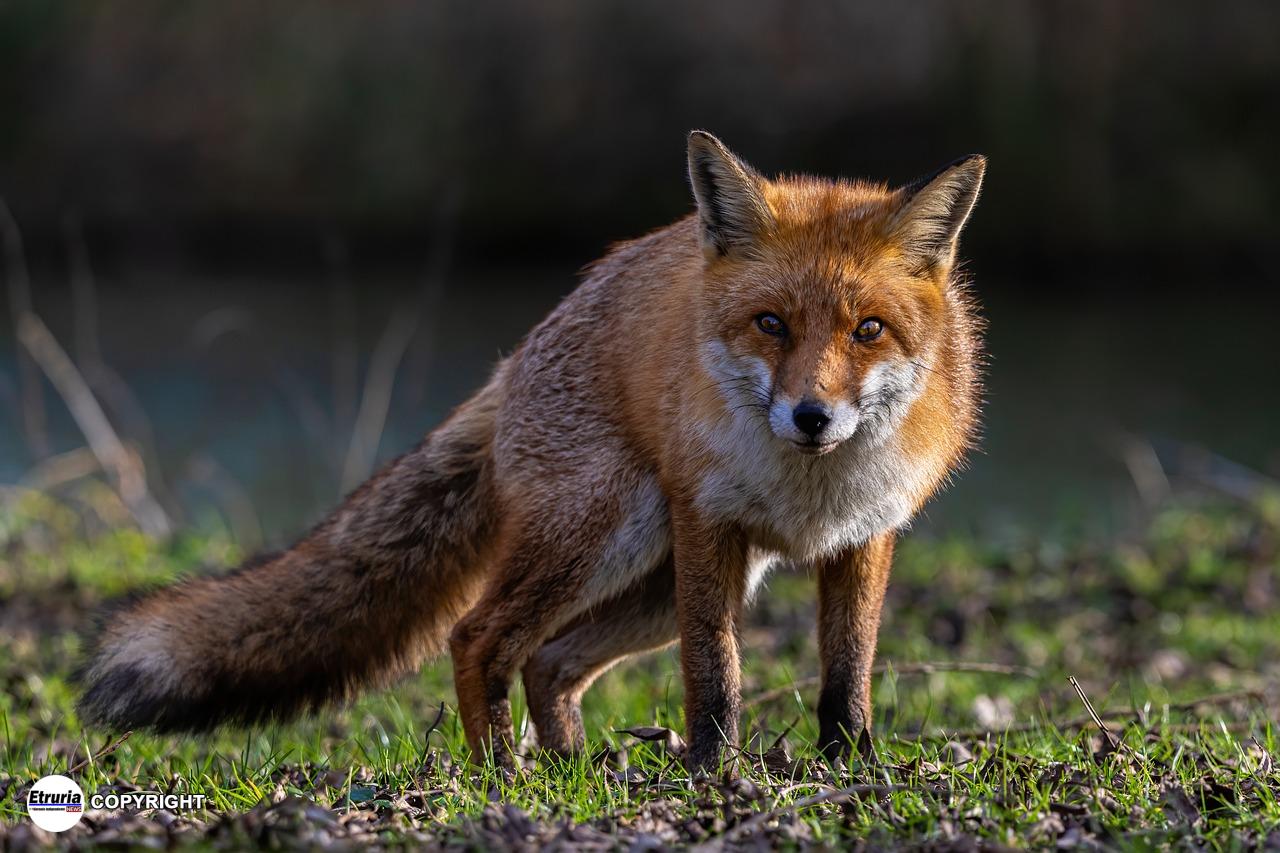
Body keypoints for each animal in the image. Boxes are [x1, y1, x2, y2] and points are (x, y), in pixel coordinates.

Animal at [79, 131, 985, 772]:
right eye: (771, 323)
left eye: (868, 330)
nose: (811, 416)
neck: (809, 490)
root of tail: (514, 358)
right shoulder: (709, 524)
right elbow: (714, 671)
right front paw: (714, 770)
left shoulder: (865, 535)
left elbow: (847, 672)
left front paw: (849, 765)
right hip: (611, 537)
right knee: (479, 637)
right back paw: (501, 772)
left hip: (652, 581)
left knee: (549, 659)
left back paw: (574, 766)